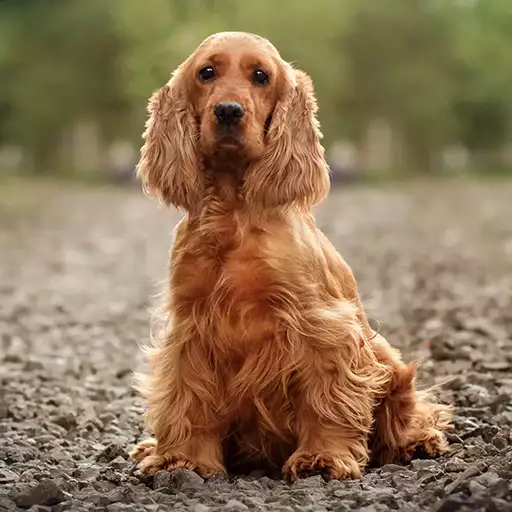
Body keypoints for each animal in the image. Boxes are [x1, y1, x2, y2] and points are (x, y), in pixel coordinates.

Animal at [130, 31, 450, 480]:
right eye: (206, 73)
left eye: (261, 76)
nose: (228, 111)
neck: (234, 212)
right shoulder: (190, 328)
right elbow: (188, 398)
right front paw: (183, 459)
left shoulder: (321, 325)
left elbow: (327, 398)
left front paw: (323, 457)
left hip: (387, 356)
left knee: (410, 413)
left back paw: (417, 442)